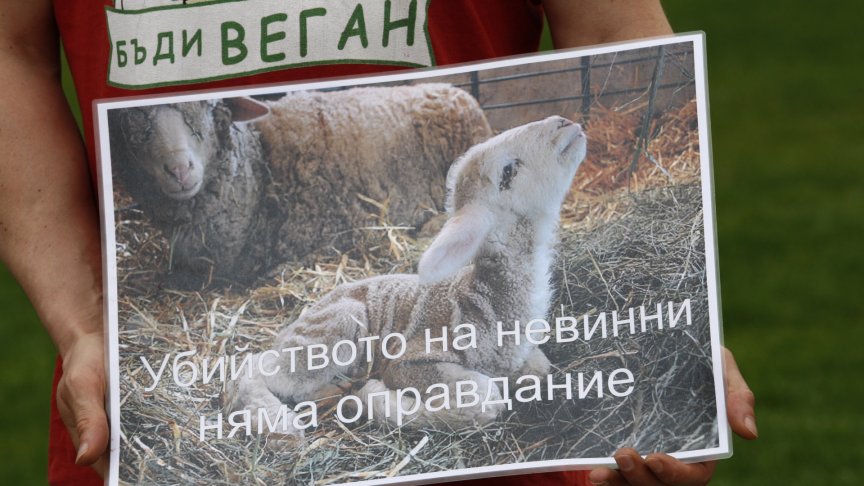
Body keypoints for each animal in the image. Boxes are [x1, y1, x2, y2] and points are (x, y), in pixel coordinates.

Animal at [224, 116, 588, 435]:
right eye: (508, 171)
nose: (565, 123)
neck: (489, 301)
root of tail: (290, 326)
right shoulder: (412, 362)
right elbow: (483, 399)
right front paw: (372, 397)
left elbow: (539, 369)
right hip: (333, 327)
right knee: (255, 369)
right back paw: (282, 425)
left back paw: (331, 392)